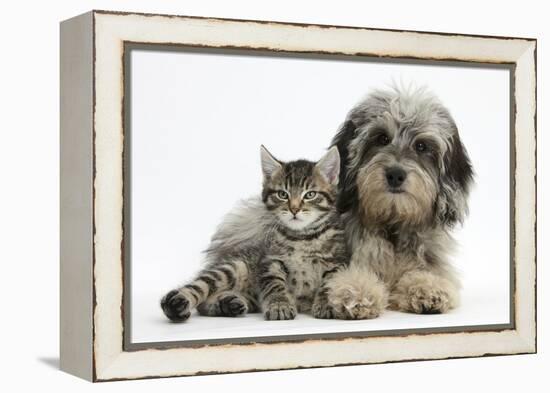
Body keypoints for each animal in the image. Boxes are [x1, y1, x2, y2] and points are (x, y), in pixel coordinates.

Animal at [162, 145, 350, 320]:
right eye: (282, 194)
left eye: (310, 194)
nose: (294, 209)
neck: (302, 237)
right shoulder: (270, 261)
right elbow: (275, 284)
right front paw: (279, 305)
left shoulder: (337, 263)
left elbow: (330, 284)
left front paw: (326, 303)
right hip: (233, 267)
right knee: (199, 289)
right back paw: (177, 304)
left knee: (207, 304)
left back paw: (228, 304)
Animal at [326, 86, 476, 318]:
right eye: (381, 138)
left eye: (421, 146)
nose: (395, 174)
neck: (393, 225)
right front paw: (357, 291)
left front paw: (428, 288)